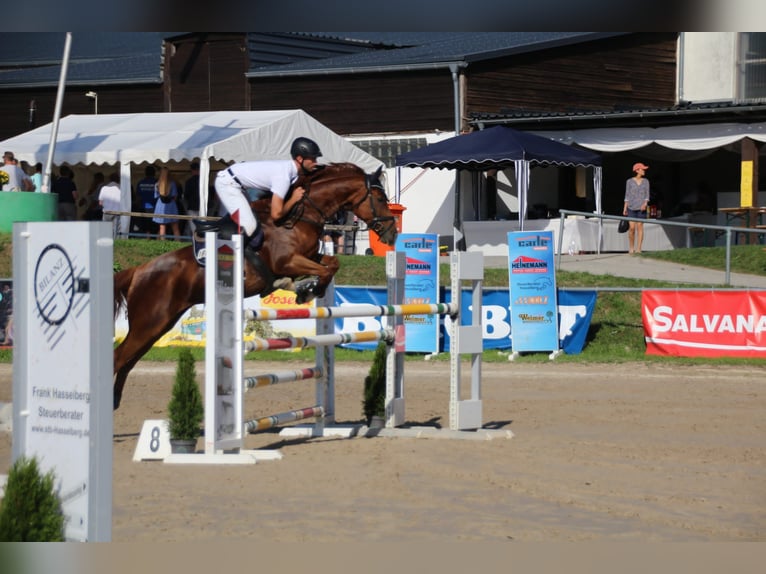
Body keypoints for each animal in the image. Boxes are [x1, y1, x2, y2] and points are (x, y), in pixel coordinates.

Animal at [117, 164, 400, 412]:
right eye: (379, 197)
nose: (392, 234)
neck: (299, 214)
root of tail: (138, 271)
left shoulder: (307, 256)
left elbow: (331, 263)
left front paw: (304, 287)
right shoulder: (287, 261)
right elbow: (325, 269)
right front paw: (307, 290)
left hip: (158, 326)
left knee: (127, 362)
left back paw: (114, 402)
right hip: (149, 324)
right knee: (119, 358)